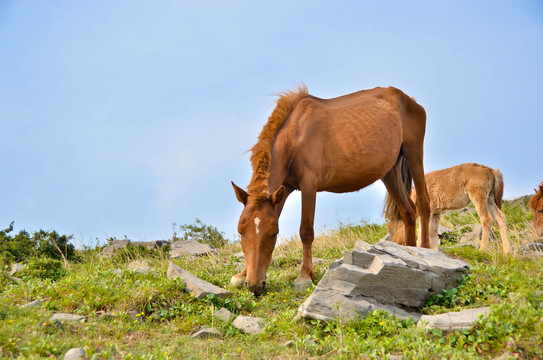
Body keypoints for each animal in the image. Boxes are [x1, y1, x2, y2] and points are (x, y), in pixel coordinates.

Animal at [232, 85, 432, 296]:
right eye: (241, 231)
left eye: (273, 233)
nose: (255, 285)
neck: (294, 134)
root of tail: (408, 99)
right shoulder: (284, 189)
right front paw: (242, 275)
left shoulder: (308, 185)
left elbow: (306, 230)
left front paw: (305, 275)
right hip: (390, 172)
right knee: (408, 210)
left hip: (414, 153)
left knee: (423, 203)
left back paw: (426, 251)